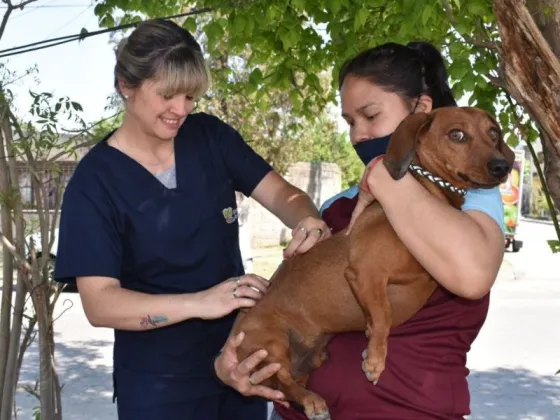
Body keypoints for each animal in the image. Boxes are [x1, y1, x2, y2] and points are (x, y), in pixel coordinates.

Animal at [230, 106, 516, 418]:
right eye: (457, 134)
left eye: (493, 133)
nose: (502, 167)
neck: (432, 193)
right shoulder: (367, 273)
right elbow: (383, 315)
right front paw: (376, 359)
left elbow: (382, 315)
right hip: (271, 343)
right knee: (282, 381)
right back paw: (311, 401)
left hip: (312, 358)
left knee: (286, 386)